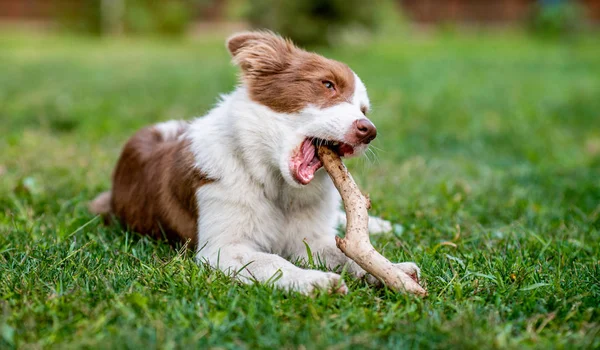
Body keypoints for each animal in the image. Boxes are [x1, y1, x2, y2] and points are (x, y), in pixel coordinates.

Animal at [90, 30, 418, 294]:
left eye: (363, 109)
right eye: (327, 85)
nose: (369, 131)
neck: (274, 183)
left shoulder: (308, 238)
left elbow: (344, 253)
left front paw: (392, 270)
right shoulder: (223, 247)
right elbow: (272, 262)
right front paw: (313, 281)